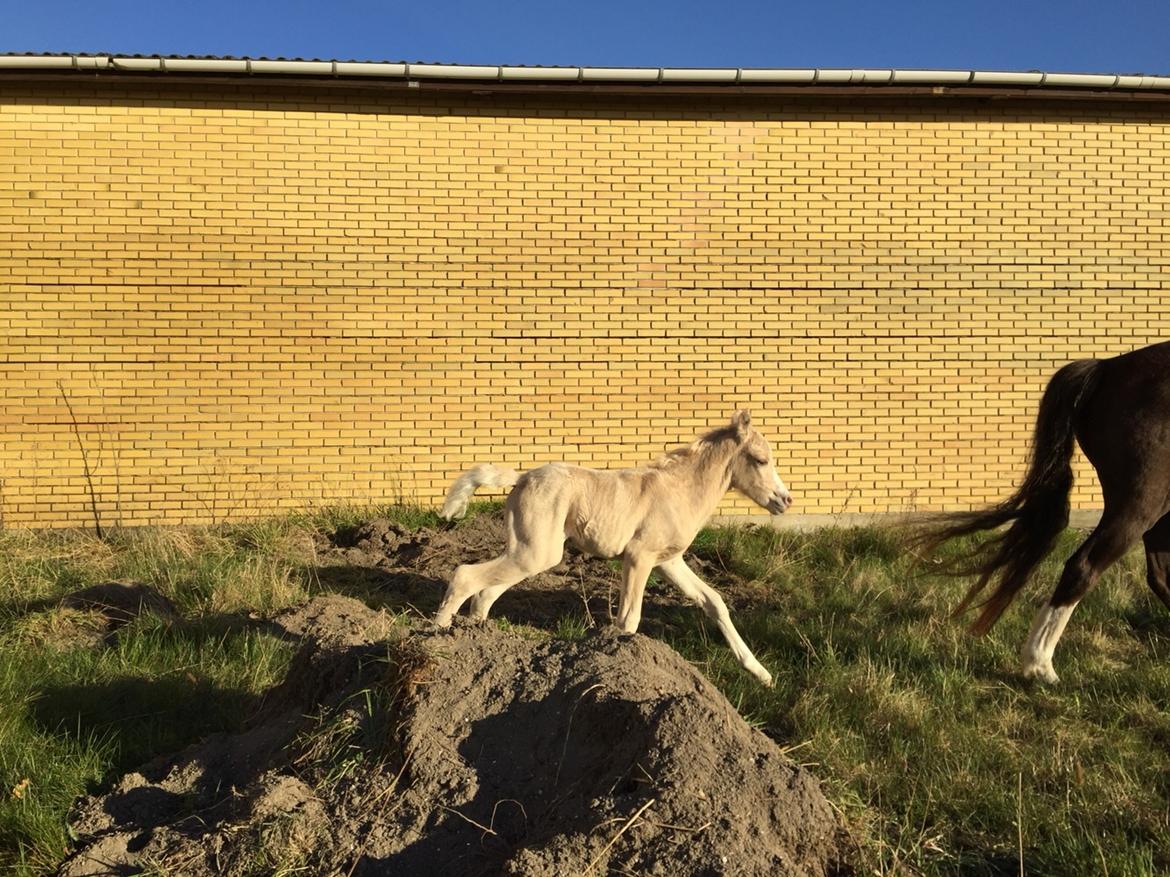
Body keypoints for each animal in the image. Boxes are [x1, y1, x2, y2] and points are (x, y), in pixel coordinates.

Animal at [435, 410, 793, 686]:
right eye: (760, 460)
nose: (785, 500)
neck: (680, 490)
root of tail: (522, 477)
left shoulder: (669, 561)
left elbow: (714, 601)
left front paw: (761, 674)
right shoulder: (639, 557)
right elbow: (628, 620)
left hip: (530, 551)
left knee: (485, 592)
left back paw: (481, 640)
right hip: (535, 552)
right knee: (465, 575)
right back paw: (436, 637)